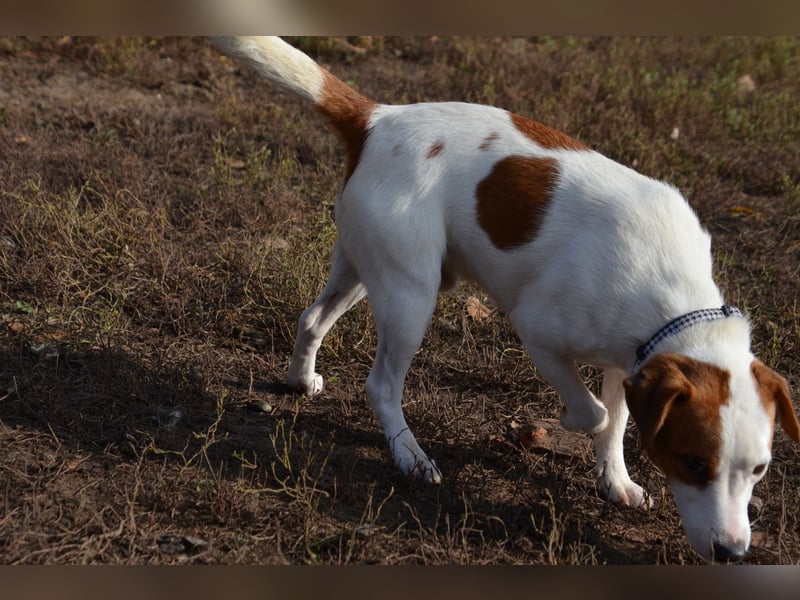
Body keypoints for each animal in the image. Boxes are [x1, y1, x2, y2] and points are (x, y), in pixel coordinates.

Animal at [219, 37, 800, 564]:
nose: (732, 552)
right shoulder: (538, 333)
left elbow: (615, 423)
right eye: (694, 463)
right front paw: (567, 427)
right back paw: (410, 456)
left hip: (363, 269)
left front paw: (615, 480)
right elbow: (594, 415)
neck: (675, 301)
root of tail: (377, 117)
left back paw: (301, 379)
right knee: (381, 384)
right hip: (411, 295)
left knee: (312, 318)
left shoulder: (629, 359)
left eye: (760, 470)